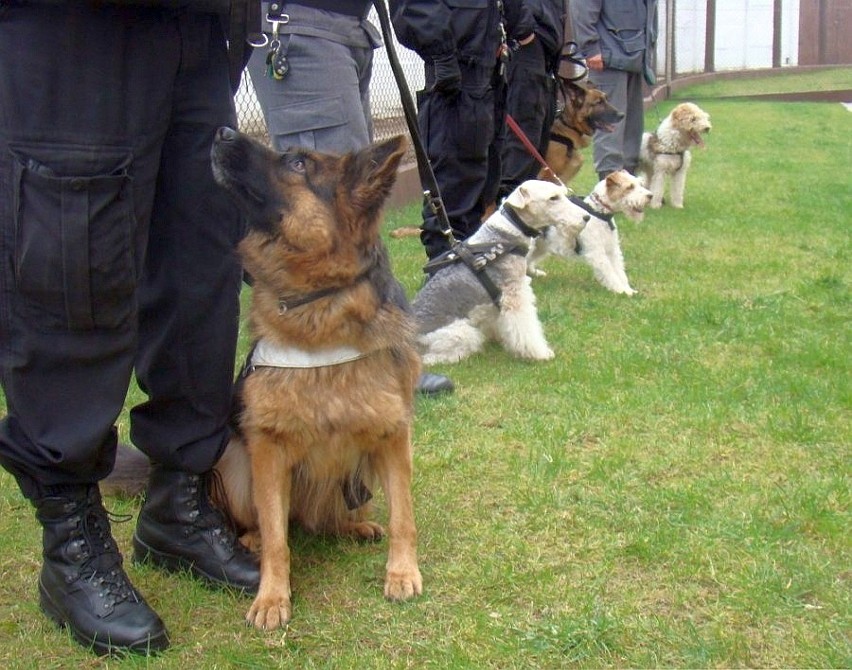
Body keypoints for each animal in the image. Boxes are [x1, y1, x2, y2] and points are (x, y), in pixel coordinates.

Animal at [210, 129, 422, 632]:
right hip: (236, 466)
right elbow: (277, 540)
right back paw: (249, 539)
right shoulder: (268, 449)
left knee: (330, 518)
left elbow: (404, 517)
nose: (222, 132)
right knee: (271, 525)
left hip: (358, 479)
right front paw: (272, 596)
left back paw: (355, 526)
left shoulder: (393, 436)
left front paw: (402, 572)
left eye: (297, 163)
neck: (319, 305)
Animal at [412, 181, 584, 364]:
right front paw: (540, 353)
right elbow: (526, 328)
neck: (505, 235)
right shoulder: (515, 295)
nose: (585, 217)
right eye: (553, 198)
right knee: (433, 357)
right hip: (461, 333)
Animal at [524, 171, 652, 294]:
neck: (599, 213)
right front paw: (623, 291)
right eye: (630, 187)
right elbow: (610, 273)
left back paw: (536, 273)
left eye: (640, 184)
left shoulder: (612, 250)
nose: (650, 196)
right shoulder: (597, 253)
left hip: (541, 245)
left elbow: (620, 273)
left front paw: (629, 289)